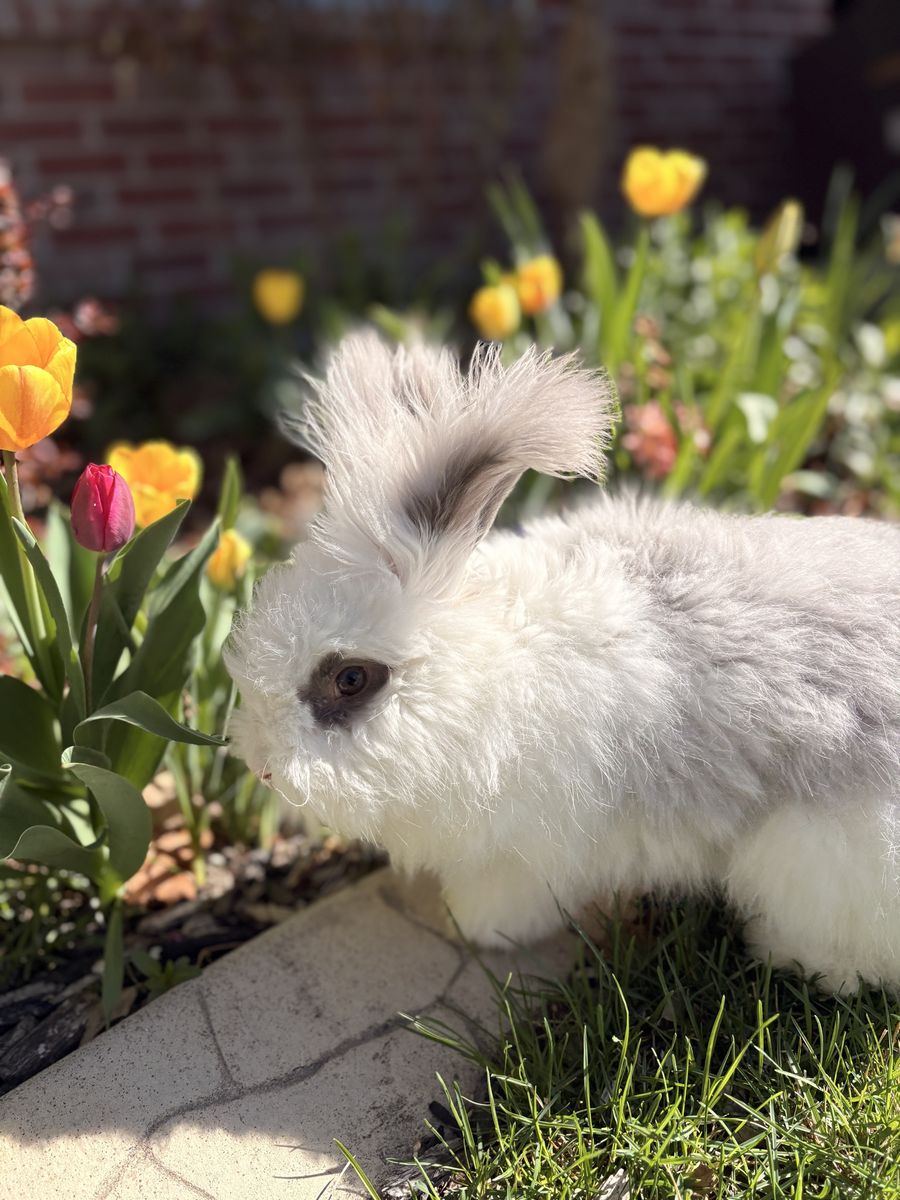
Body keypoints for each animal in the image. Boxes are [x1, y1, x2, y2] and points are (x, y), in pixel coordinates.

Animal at [225, 332, 900, 994]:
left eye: (350, 679)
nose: (263, 767)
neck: (489, 672)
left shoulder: (527, 850)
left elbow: (508, 898)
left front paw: (476, 928)